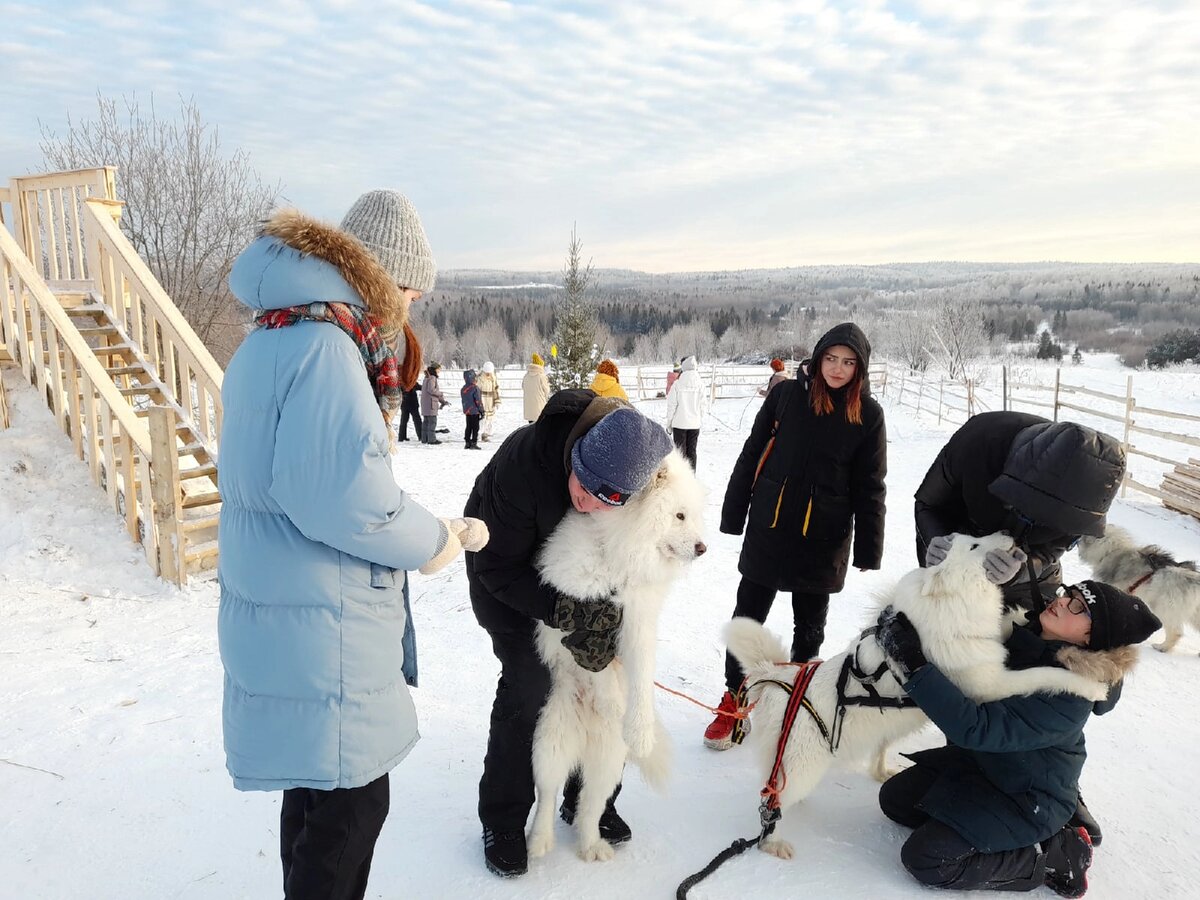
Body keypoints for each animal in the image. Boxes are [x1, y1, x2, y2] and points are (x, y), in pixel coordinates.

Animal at [530, 453, 705, 864]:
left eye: (693, 515)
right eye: (679, 516)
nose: (703, 547)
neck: (620, 556)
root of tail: (585, 734)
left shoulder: (639, 621)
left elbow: (640, 678)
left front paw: (639, 731)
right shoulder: (576, 611)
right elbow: (599, 663)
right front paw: (611, 699)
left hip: (608, 762)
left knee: (589, 806)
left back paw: (593, 846)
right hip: (550, 743)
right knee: (547, 794)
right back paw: (538, 842)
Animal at [720, 532, 1104, 864]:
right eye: (974, 544)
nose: (1011, 533)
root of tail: (778, 679)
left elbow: (1009, 631)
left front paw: (1019, 616)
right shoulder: (989, 685)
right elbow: (1044, 675)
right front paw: (1091, 685)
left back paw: (881, 772)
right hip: (801, 769)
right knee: (771, 805)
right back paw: (774, 843)